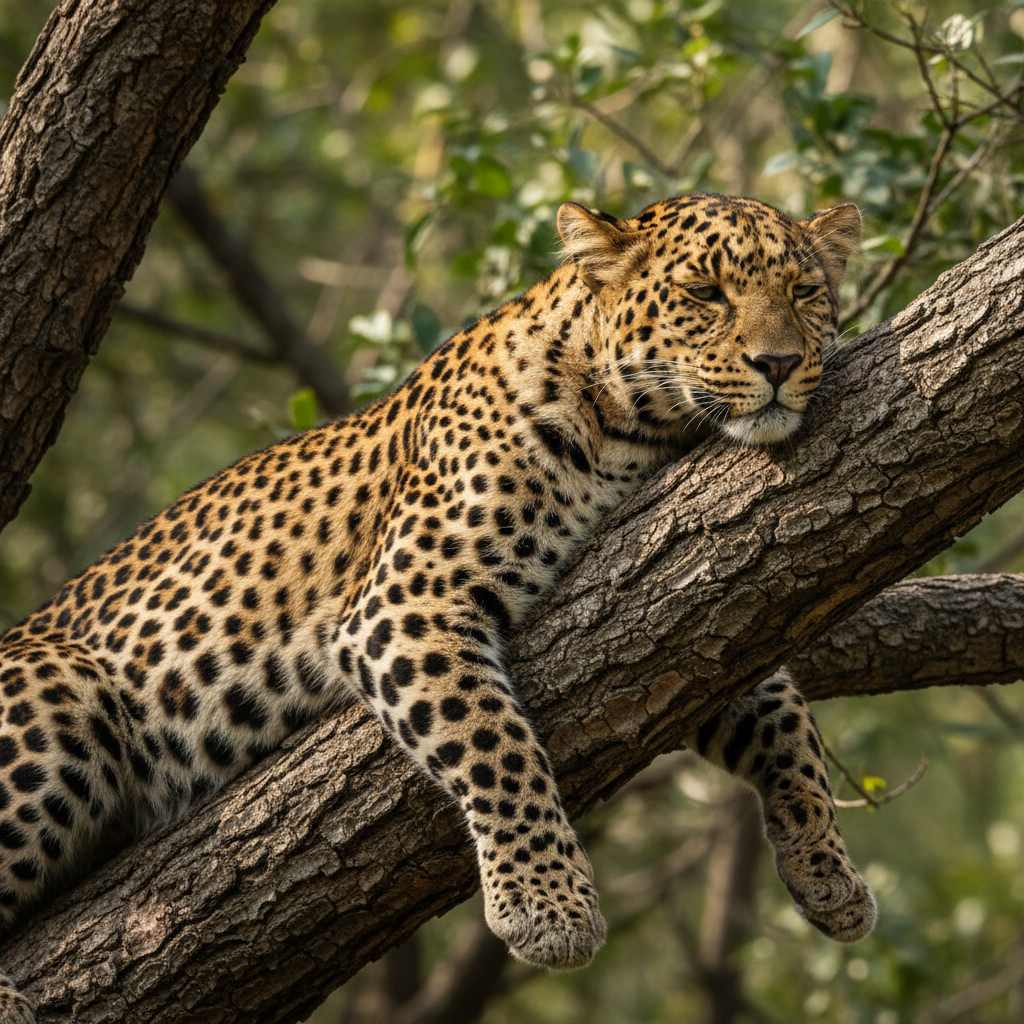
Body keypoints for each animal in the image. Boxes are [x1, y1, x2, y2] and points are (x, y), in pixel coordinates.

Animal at [0, 191, 874, 1022]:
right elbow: (495, 744)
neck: (634, 435)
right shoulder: (407, 603)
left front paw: (826, 868)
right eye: (704, 293)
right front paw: (547, 906)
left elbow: (786, 721)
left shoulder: (696, 602)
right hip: (63, 693)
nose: (778, 362)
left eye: (804, 293)